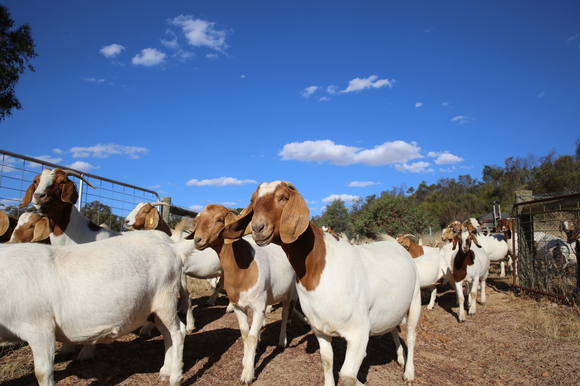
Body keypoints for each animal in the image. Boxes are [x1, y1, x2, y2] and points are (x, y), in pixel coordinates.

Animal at [0, 231, 185, 386]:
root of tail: (172, 248)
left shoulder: (39, 327)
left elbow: (42, 373)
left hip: (165, 299)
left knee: (178, 332)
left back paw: (175, 377)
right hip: (153, 309)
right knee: (168, 333)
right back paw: (165, 371)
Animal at [188, 204, 300, 384]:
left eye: (219, 220)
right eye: (198, 220)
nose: (197, 240)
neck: (243, 266)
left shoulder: (258, 306)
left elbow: (252, 337)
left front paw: (247, 374)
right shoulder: (238, 306)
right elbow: (245, 334)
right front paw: (247, 360)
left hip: (288, 291)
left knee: (284, 315)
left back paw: (282, 341)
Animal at [222, 182, 422, 386]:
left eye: (283, 197)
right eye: (253, 200)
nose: (257, 227)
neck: (319, 267)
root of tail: (395, 245)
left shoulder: (359, 331)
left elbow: (347, 375)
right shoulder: (320, 329)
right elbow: (327, 361)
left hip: (415, 300)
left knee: (411, 336)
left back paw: (409, 373)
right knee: (394, 328)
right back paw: (400, 358)